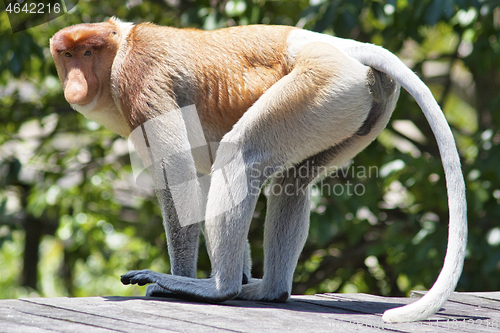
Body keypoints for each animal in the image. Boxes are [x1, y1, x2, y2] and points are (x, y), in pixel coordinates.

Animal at [50, 16, 468, 320]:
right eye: (67, 56)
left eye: (88, 52)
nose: (75, 84)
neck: (121, 46)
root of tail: (341, 46)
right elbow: (202, 174)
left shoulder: (140, 79)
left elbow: (180, 175)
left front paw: (175, 280)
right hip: (356, 105)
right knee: (293, 182)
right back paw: (267, 289)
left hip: (323, 82)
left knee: (242, 154)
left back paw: (219, 288)